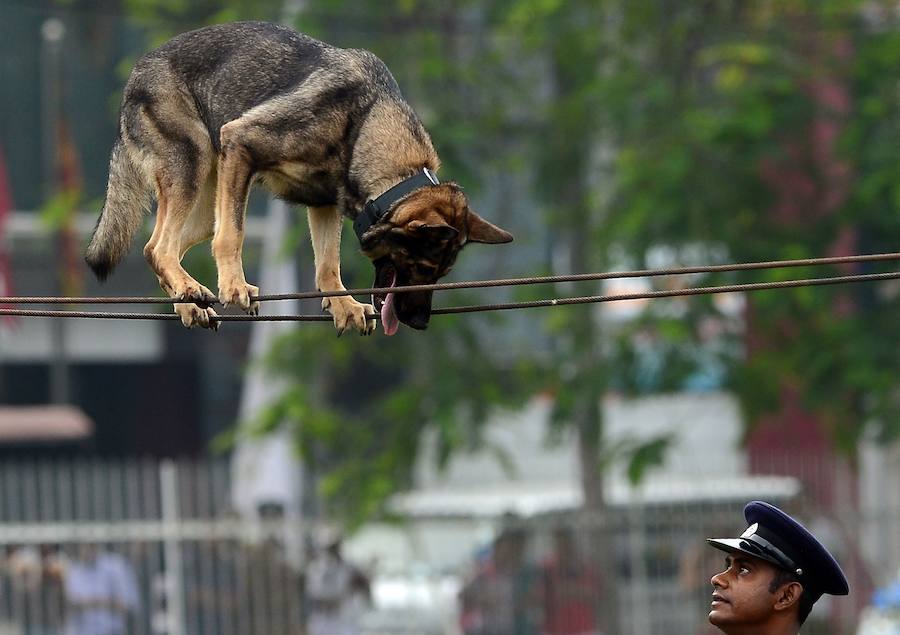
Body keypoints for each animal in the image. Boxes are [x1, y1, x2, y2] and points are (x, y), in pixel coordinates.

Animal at [87, 22, 510, 336]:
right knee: (160, 247)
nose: (420, 324)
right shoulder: (240, 143)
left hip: (206, 204)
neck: (364, 121)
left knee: (159, 247)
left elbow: (328, 265)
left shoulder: (323, 203)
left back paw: (188, 300)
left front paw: (341, 303)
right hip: (192, 168)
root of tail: (138, 71)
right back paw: (192, 288)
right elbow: (233, 236)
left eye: (440, 274)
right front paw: (234, 286)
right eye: (422, 268)